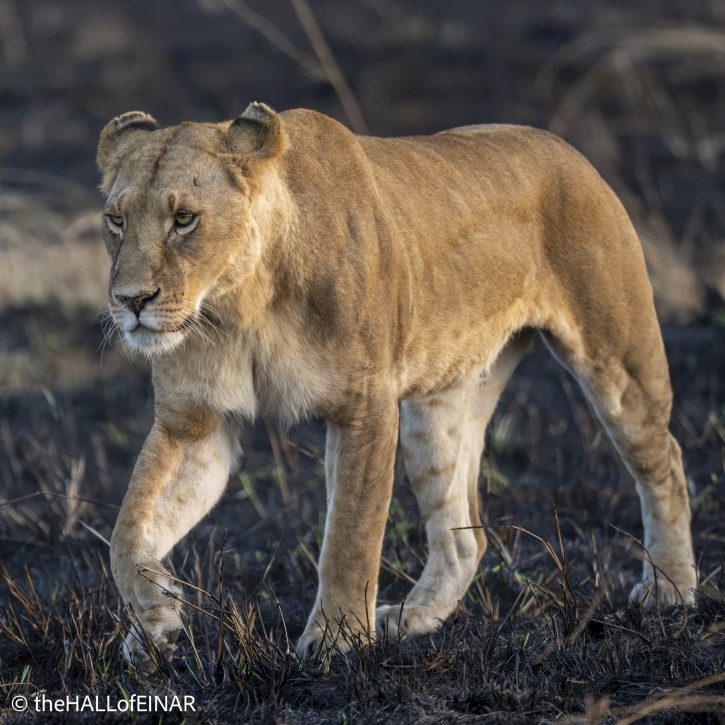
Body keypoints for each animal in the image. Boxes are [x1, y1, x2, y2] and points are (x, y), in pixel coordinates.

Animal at [96, 103, 696, 662]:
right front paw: (155, 621)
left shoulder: (365, 409)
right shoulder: (193, 424)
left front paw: (335, 640)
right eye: (116, 221)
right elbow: (127, 530)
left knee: (665, 460)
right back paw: (411, 618)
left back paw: (670, 589)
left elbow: (349, 537)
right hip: (436, 412)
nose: (131, 301)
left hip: (618, 364)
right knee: (464, 538)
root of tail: (568, 150)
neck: (241, 304)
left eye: (184, 219)